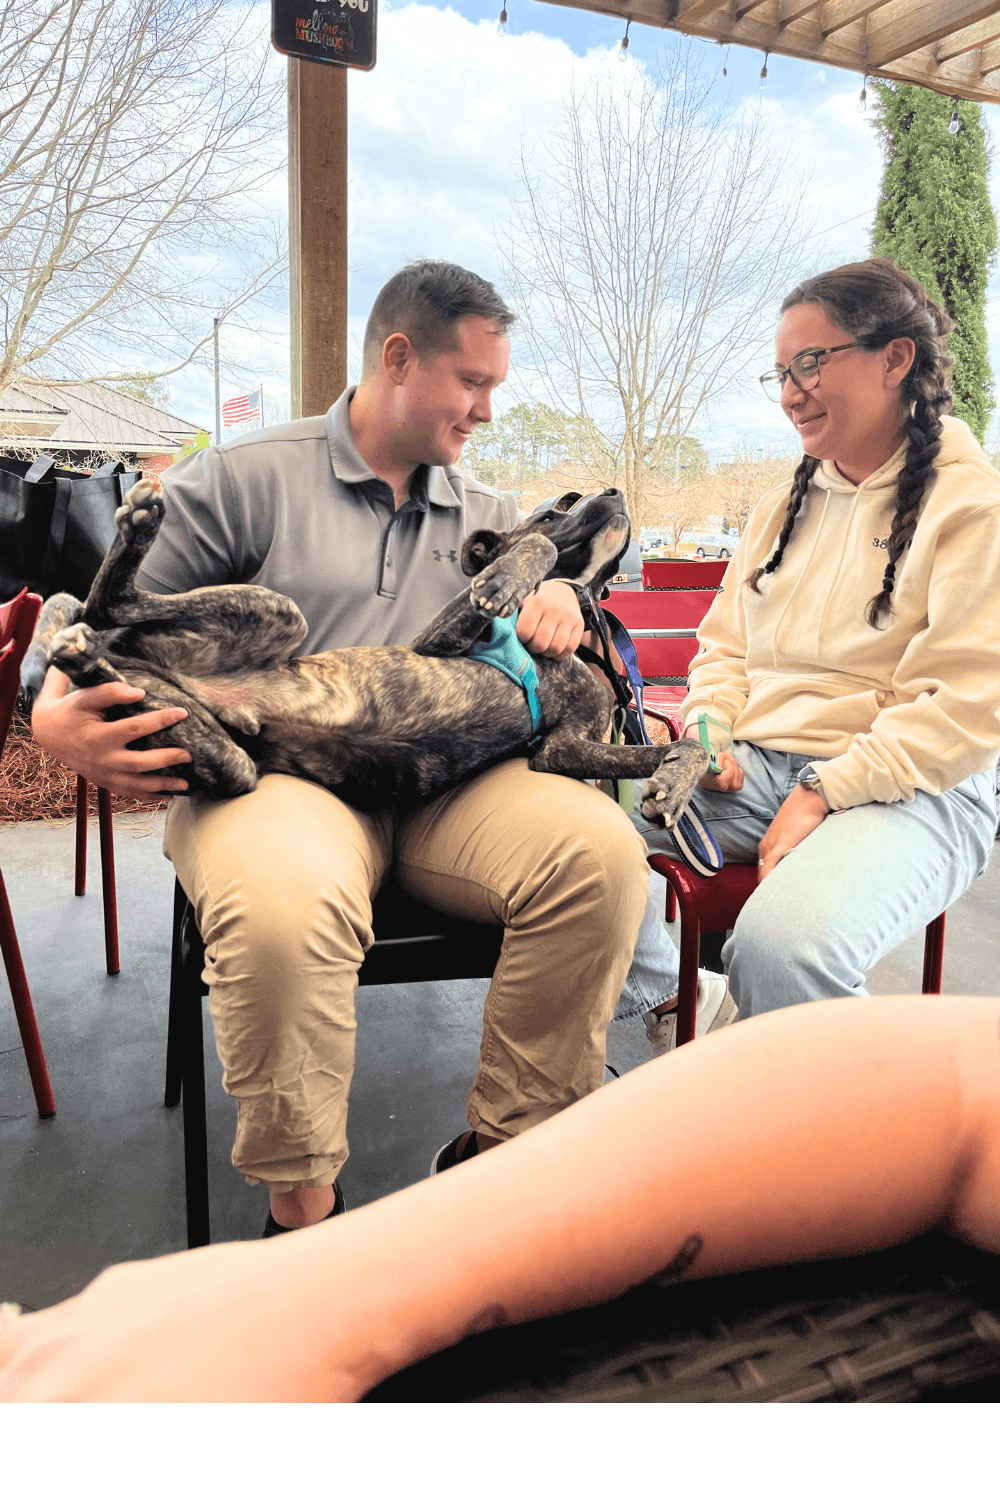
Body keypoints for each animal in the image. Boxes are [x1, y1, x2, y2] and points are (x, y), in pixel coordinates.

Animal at [27, 477, 707, 828]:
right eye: (556, 509)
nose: (614, 490)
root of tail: (139, 663)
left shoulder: (561, 751)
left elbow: (692, 748)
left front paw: (672, 787)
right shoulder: (441, 638)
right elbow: (531, 559)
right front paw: (506, 581)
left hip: (218, 753)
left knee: (106, 636)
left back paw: (83, 659)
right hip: (277, 610)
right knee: (108, 600)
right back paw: (135, 531)